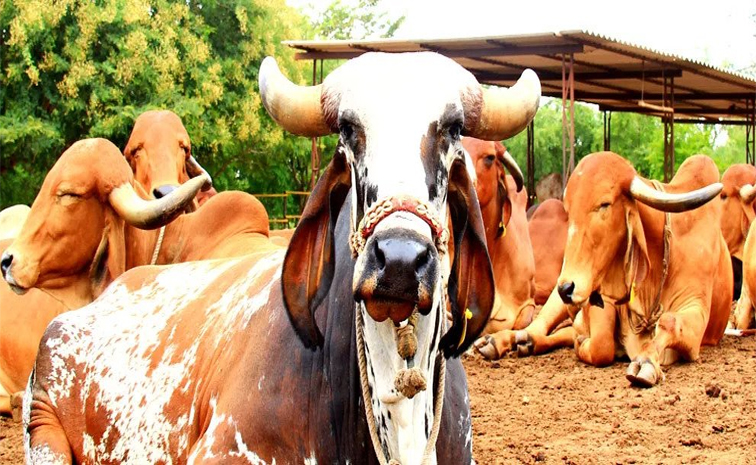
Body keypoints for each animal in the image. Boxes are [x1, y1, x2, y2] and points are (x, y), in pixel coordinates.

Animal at [555, 152, 730, 387]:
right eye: (568, 210)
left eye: (604, 204)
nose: (565, 288)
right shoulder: (604, 298)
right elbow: (601, 345)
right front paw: (582, 341)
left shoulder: (696, 307)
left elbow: (669, 321)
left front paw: (646, 362)